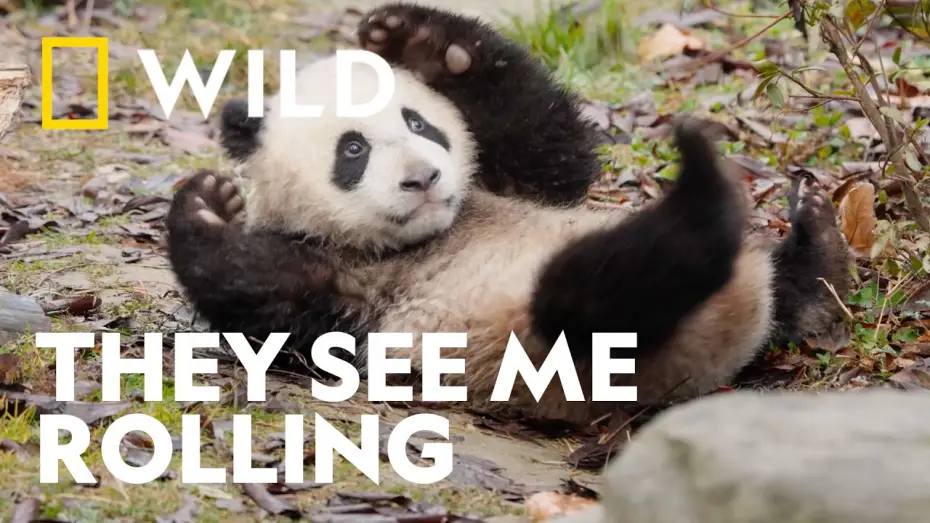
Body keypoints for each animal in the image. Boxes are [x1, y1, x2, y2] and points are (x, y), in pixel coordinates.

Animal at [164, 2, 851, 424]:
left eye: (419, 123)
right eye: (353, 150)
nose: (424, 179)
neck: (431, 235)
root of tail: (727, 341)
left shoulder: (512, 181)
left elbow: (546, 145)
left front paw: (416, 40)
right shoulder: (355, 290)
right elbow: (269, 306)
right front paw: (207, 205)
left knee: (785, 296)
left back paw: (815, 239)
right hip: (562, 343)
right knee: (604, 291)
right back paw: (701, 202)